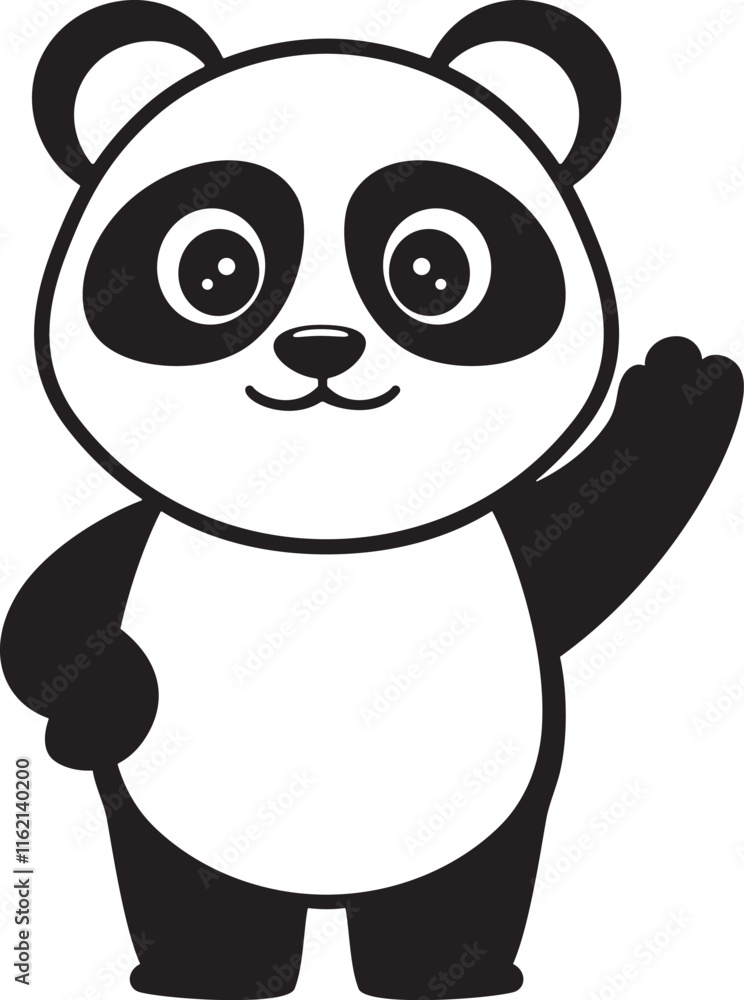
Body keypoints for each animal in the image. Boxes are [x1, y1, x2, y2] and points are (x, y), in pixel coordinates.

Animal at [2, 1, 742, 998]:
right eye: (215, 271)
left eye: (431, 271)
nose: (321, 347)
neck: (330, 540)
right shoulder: (136, 540)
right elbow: (48, 625)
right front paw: (109, 700)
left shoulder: (514, 555)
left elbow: (590, 539)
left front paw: (680, 393)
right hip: (175, 829)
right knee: (190, 889)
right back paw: (205, 969)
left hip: (489, 819)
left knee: (457, 895)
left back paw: (450, 973)